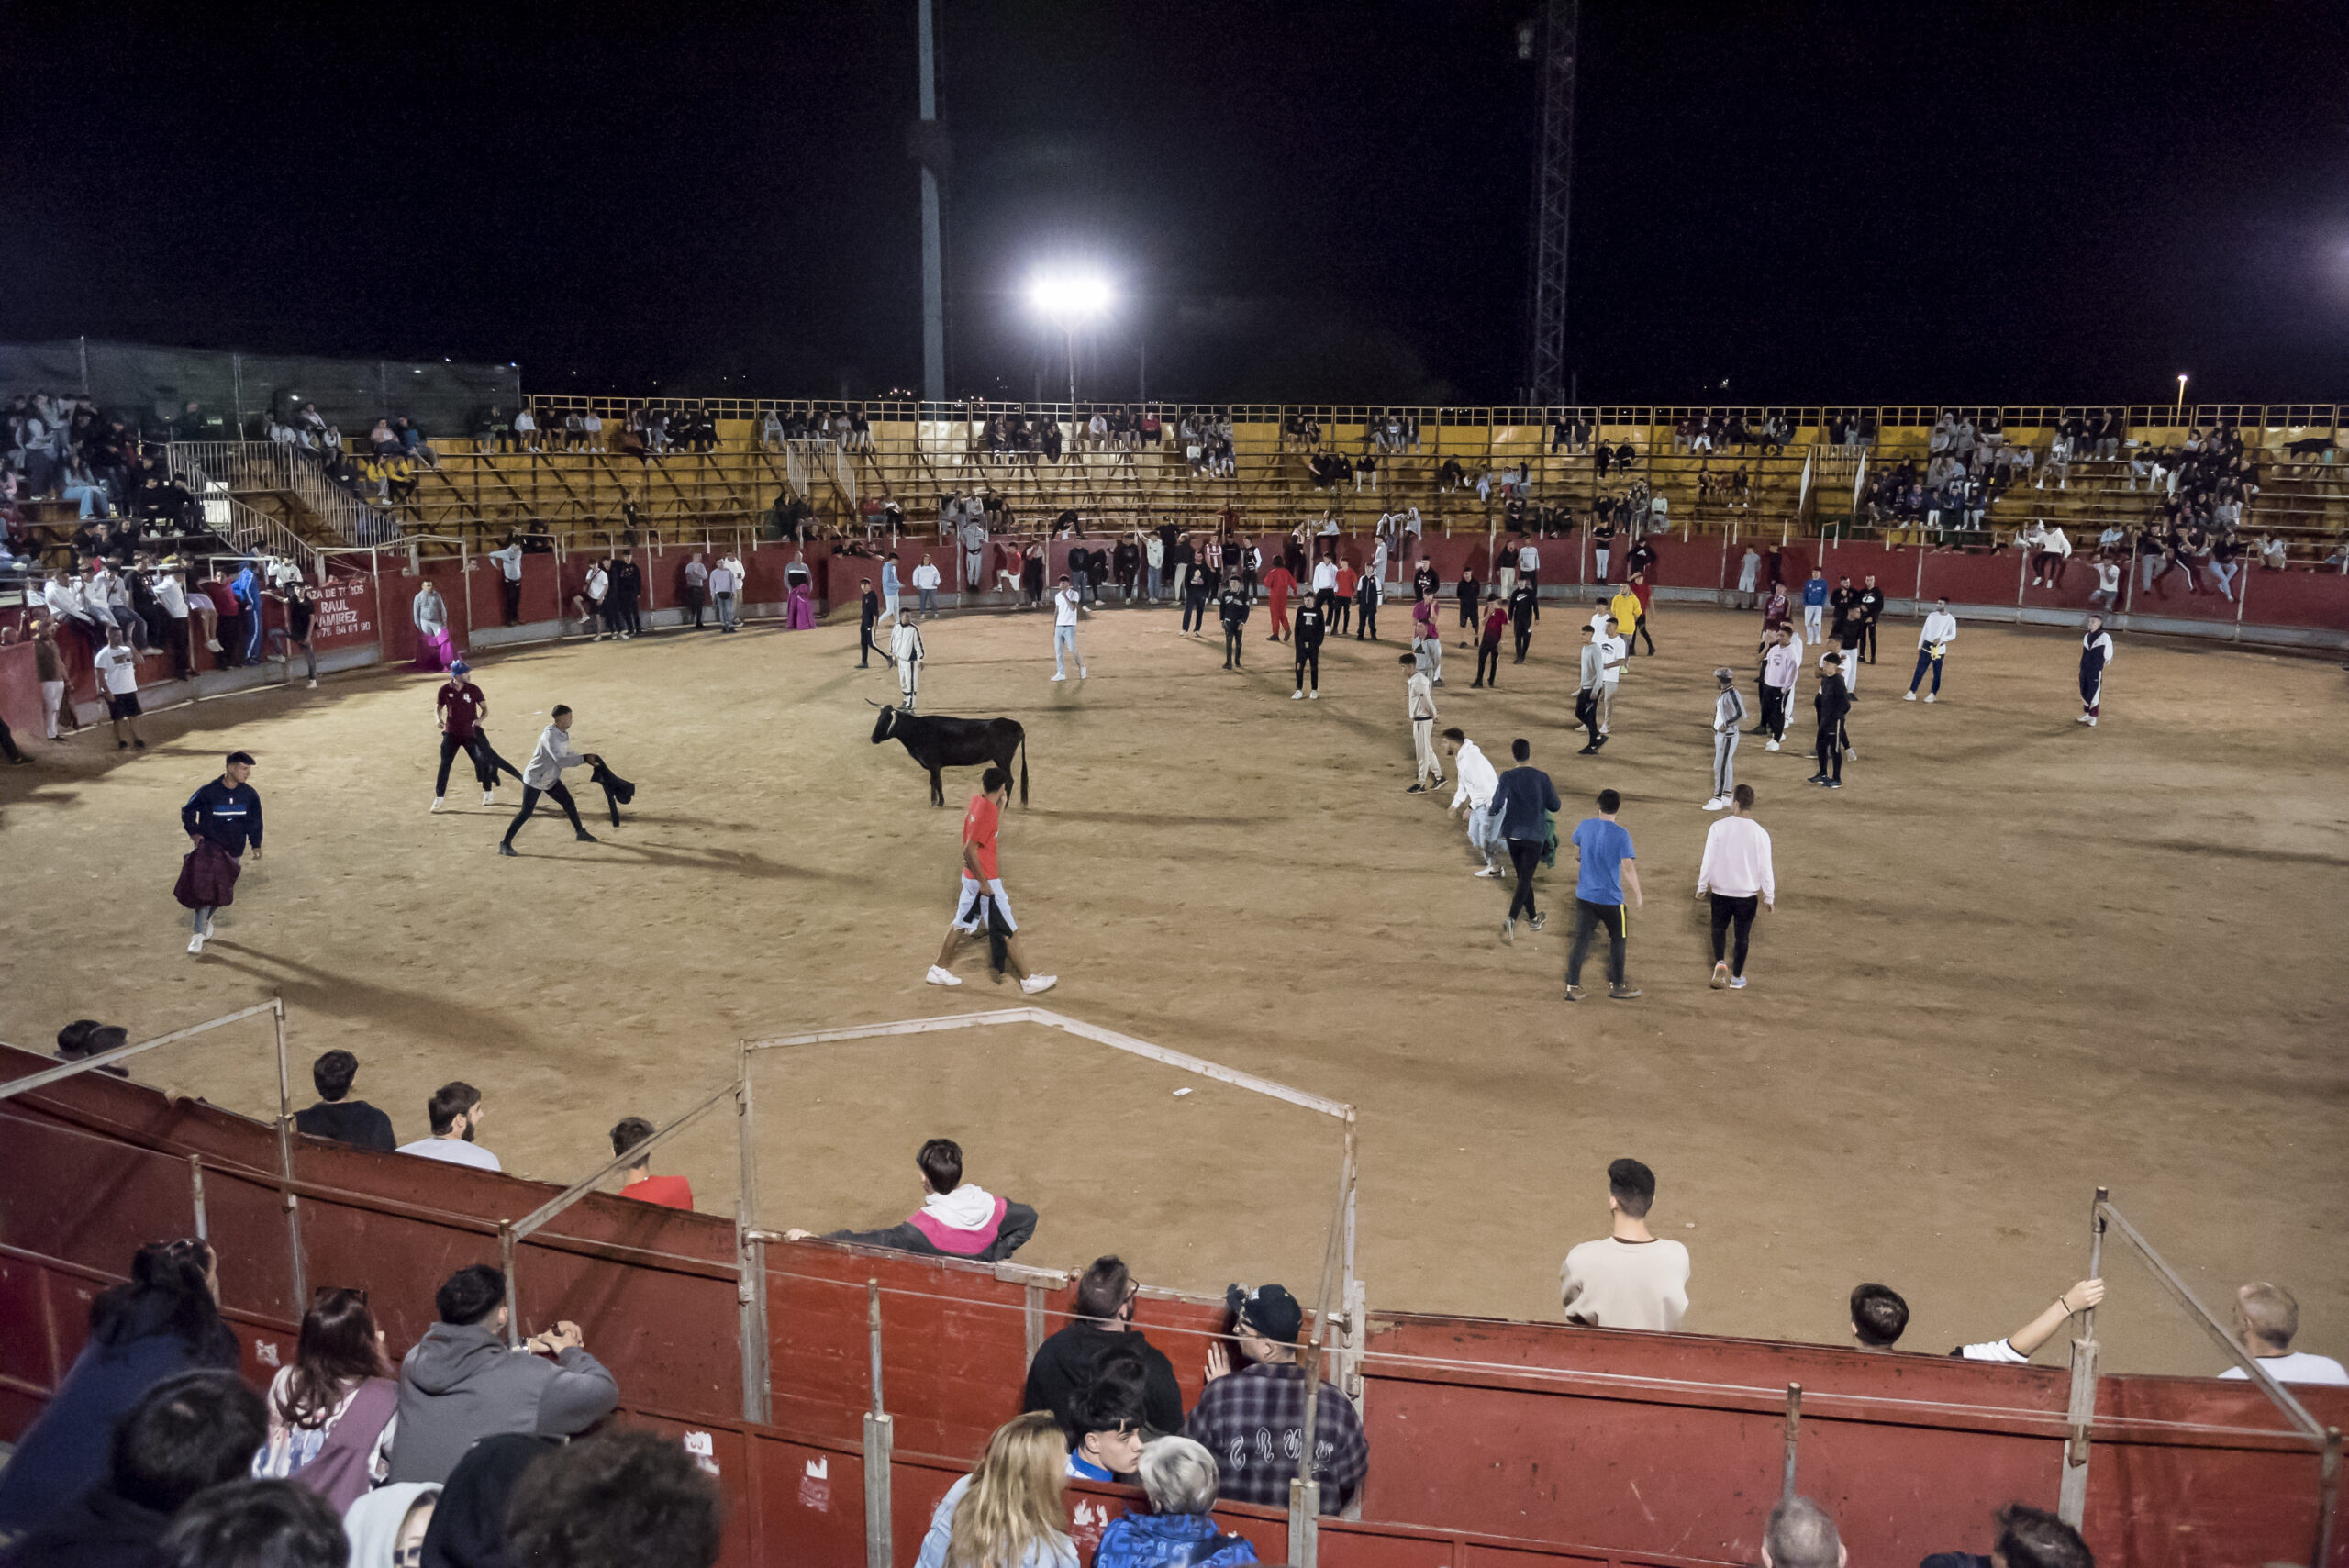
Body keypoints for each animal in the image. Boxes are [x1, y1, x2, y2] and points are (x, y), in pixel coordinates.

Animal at [874, 708, 1029, 807]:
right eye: (878, 719)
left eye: (885, 721)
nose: (872, 738)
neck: (917, 730)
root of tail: (1017, 726)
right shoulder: (932, 767)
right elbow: (932, 782)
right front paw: (933, 801)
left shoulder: (934, 765)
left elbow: (938, 782)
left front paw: (940, 802)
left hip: (1003, 759)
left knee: (1010, 780)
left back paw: (1005, 805)